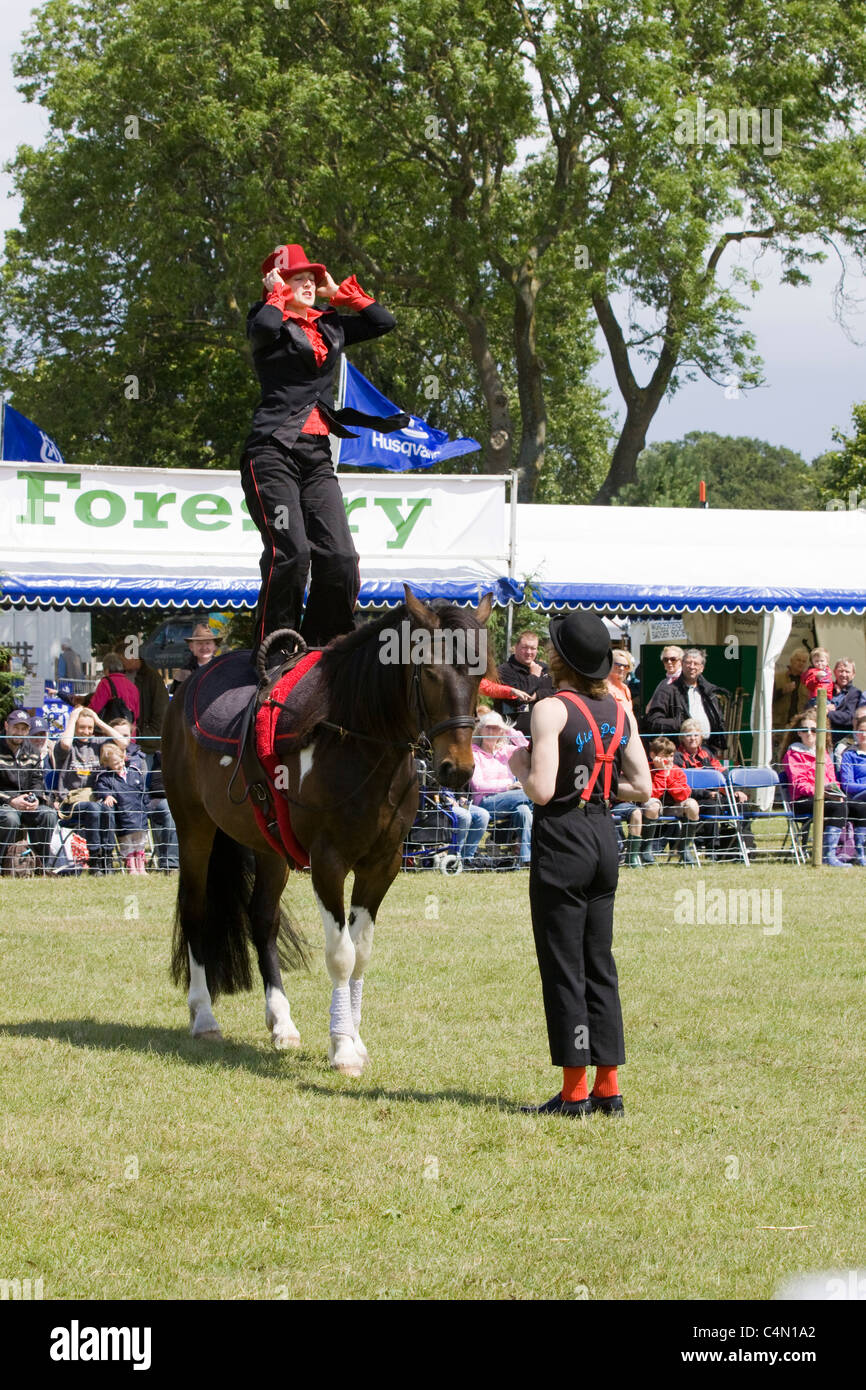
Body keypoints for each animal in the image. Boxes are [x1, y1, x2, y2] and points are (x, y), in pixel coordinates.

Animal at [159, 583, 492, 1073]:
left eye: (480, 674)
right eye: (429, 672)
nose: (458, 768)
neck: (357, 742)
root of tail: (186, 688)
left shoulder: (382, 864)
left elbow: (362, 954)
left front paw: (354, 1038)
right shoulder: (328, 863)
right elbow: (341, 956)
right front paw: (341, 1048)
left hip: (269, 848)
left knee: (263, 919)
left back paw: (281, 1022)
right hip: (194, 827)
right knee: (196, 909)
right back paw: (203, 1016)